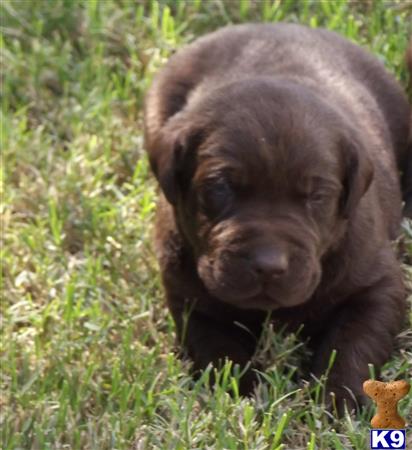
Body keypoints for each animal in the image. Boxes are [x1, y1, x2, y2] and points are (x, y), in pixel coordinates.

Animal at [143, 23, 410, 412]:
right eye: (220, 187)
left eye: (317, 196)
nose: (268, 266)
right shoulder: (191, 300)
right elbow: (218, 352)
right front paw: (242, 397)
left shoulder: (378, 284)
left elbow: (354, 341)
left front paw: (338, 401)